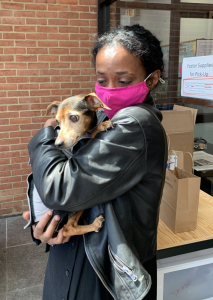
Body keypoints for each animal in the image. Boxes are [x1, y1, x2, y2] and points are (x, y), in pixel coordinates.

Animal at [45, 92, 113, 238]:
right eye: (57, 122)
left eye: (74, 117)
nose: (57, 144)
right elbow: (93, 135)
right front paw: (103, 125)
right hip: (78, 203)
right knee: (67, 228)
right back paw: (95, 225)